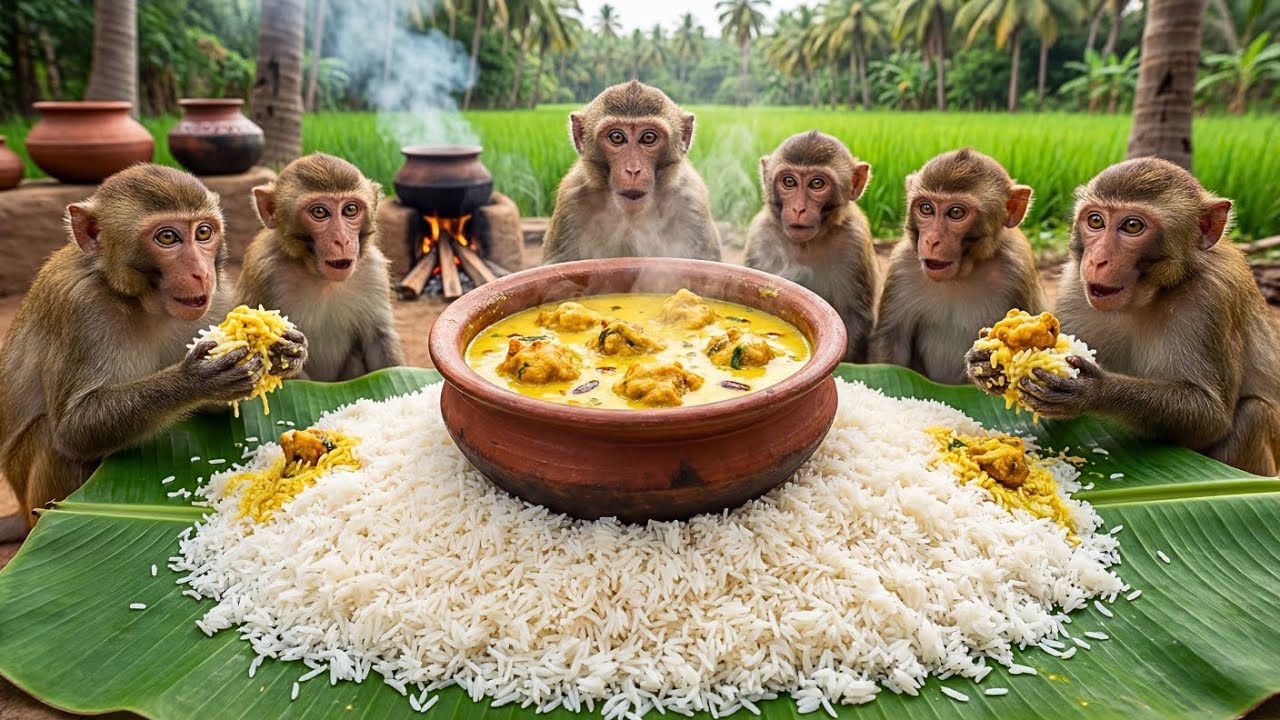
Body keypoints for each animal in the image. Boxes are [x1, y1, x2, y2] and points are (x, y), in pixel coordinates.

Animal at [0, 165, 307, 538]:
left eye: (203, 232)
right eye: (168, 238)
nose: (200, 272)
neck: (142, 301)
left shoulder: (219, 296)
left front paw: (290, 352)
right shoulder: (80, 306)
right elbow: (74, 431)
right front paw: (197, 380)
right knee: (56, 444)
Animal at [237, 153, 406, 382]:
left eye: (350, 209)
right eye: (319, 212)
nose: (342, 240)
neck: (322, 279)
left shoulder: (374, 271)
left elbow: (380, 344)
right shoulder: (263, 270)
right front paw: (290, 357)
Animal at [744, 131, 878, 363]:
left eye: (817, 184)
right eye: (789, 181)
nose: (798, 209)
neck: (806, 244)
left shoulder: (854, 241)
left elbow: (854, 317)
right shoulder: (761, 236)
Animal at [869, 148, 1045, 384]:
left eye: (955, 213)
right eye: (926, 208)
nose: (931, 240)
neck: (959, 276)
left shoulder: (1016, 270)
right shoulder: (902, 264)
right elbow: (892, 343)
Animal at [967, 157, 1280, 476]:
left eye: (1132, 226)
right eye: (1095, 221)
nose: (1097, 260)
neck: (1144, 298)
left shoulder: (1211, 299)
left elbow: (1211, 417)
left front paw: (1095, 391)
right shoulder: (1074, 284)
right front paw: (982, 363)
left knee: (1253, 413)